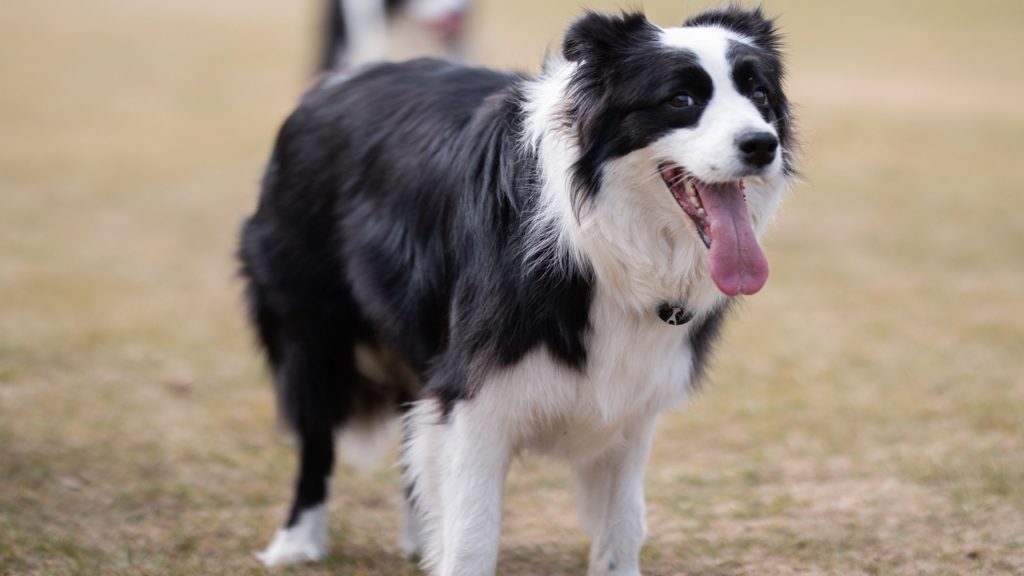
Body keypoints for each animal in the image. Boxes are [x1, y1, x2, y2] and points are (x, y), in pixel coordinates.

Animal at [239, 5, 790, 573]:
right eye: (680, 99)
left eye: (760, 95)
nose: (761, 144)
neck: (598, 238)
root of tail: (333, 83)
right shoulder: (477, 397)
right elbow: (472, 535)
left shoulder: (632, 404)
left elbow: (622, 527)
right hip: (312, 327)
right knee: (317, 436)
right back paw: (298, 542)